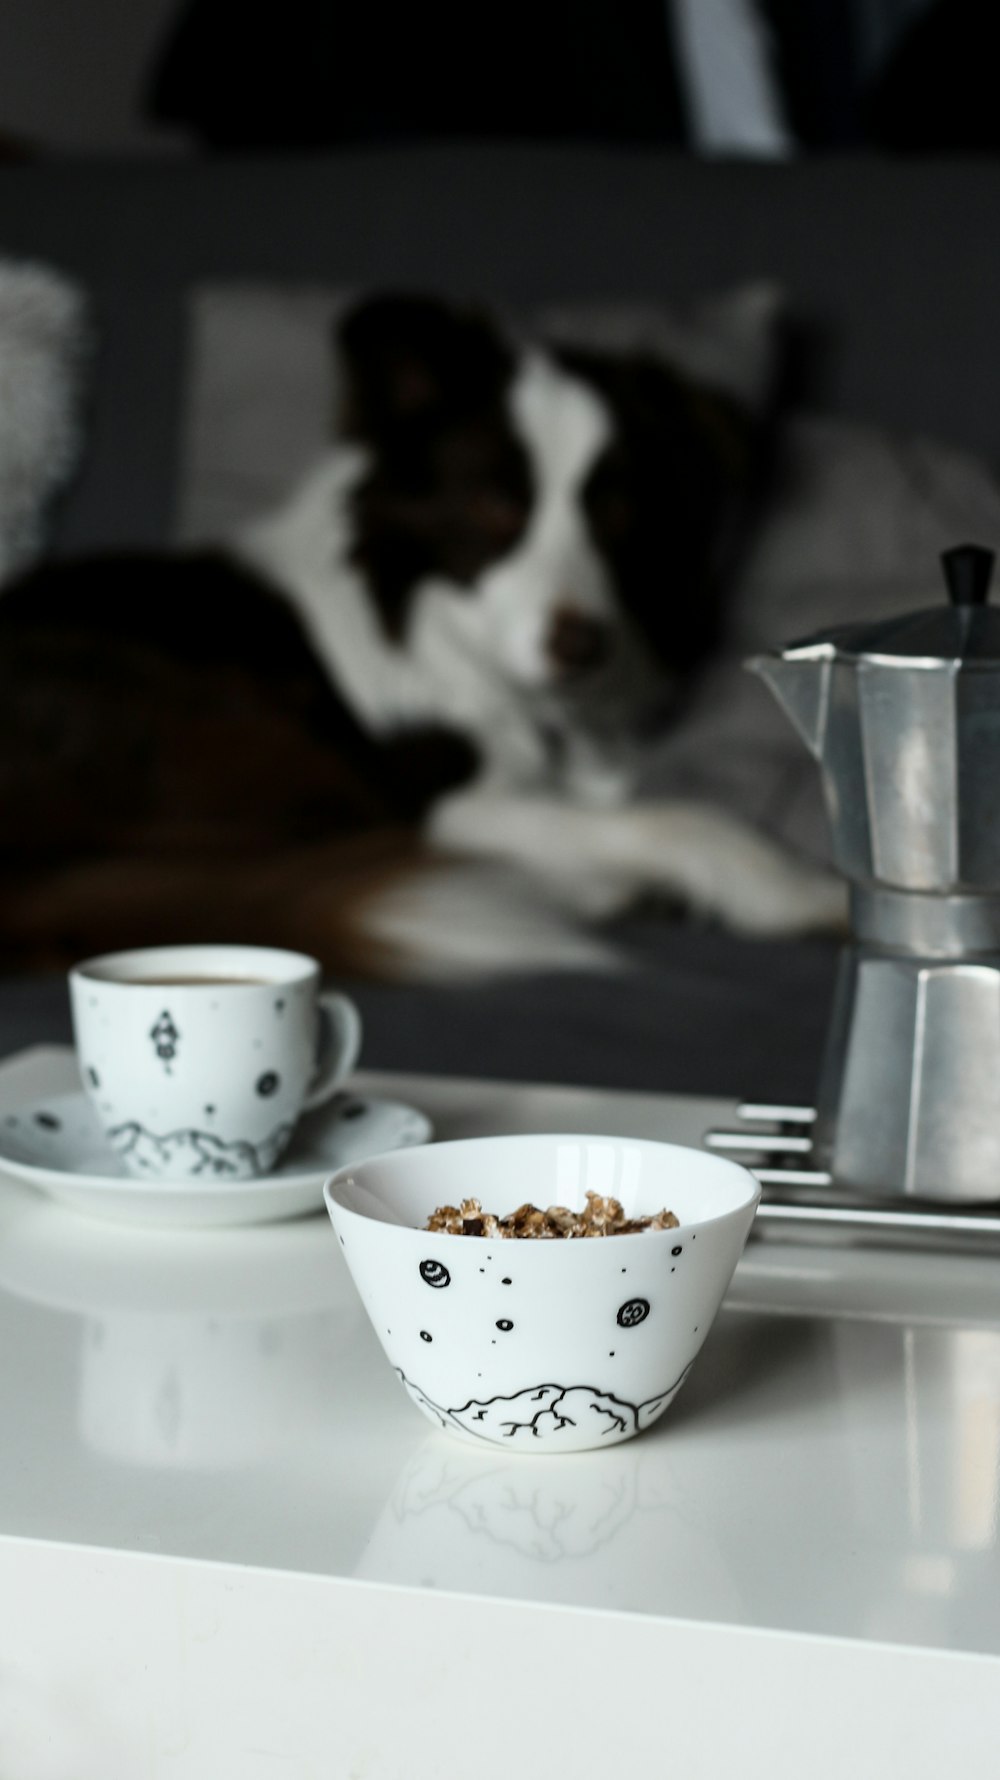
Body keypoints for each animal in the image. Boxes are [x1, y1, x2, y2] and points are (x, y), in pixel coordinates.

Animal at [0, 299, 839, 982]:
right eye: (493, 502)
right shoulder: (429, 799)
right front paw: (795, 890)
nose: (582, 647)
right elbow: (677, 815)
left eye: (620, 510)